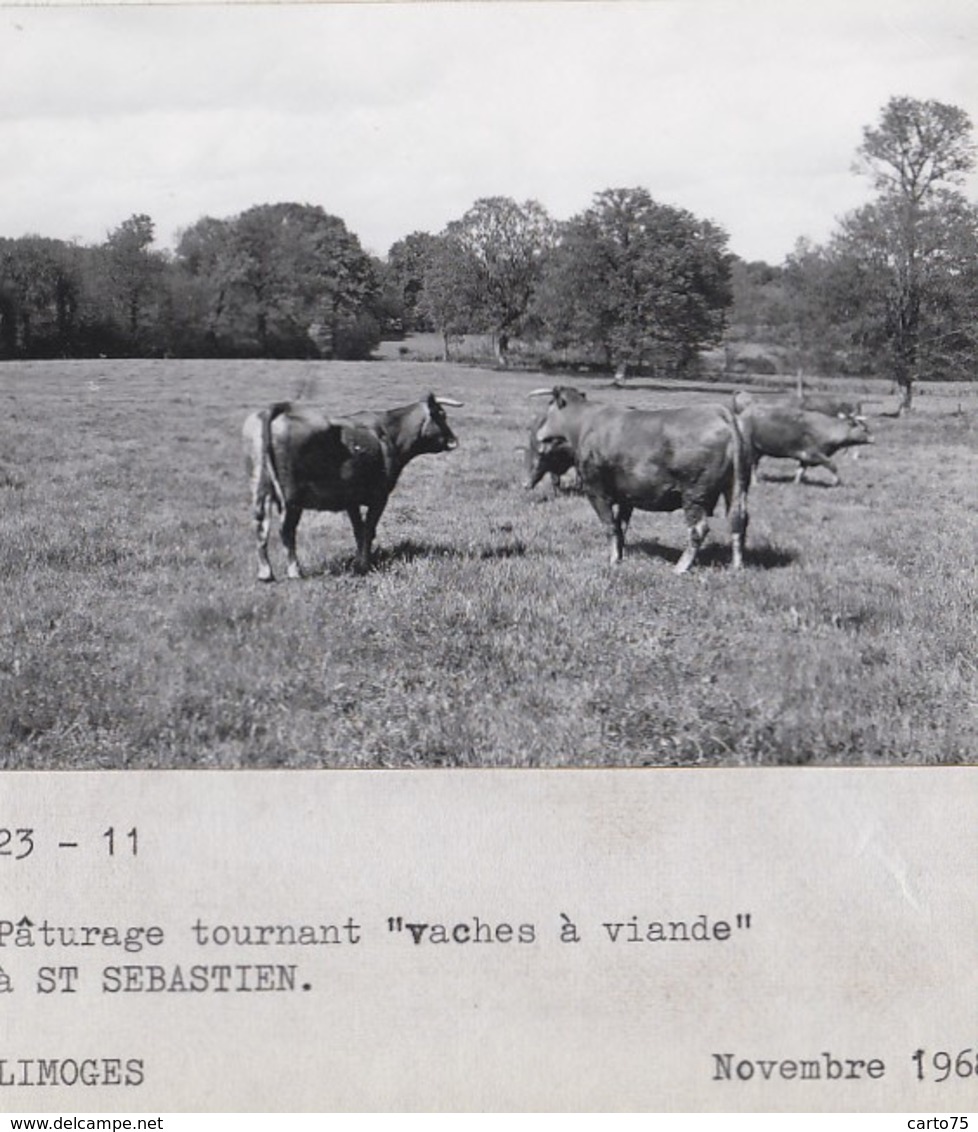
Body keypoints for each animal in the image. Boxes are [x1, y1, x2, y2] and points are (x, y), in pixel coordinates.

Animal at [527, 387, 747, 570]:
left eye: (548, 407)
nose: (539, 432)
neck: (584, 425)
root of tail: (719, 412)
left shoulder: (596, 490)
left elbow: (610, 525)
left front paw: (613, 560)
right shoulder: (628, 495)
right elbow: (621, 526)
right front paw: (620, 555)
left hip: (695, 493)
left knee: (699, 528)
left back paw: (681, 567)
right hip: (736, 486)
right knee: (738, 520)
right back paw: (736, 566)